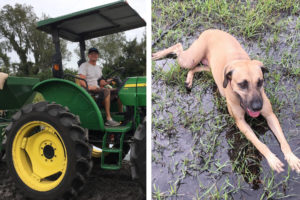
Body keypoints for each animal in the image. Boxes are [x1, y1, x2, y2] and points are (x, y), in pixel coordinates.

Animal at [152, 28, 300, 173]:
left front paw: (291, 157)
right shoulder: (240, 122)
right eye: (242, 84)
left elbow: (283, 140)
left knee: (193, 68)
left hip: (208, 67)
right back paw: (158, 54)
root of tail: (210, 29)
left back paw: (188, 79)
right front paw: (272, 159)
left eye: (260, 82)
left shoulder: (270, 115)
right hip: (190, 59)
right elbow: (259, 143)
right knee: (178, 47)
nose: (257, 107)